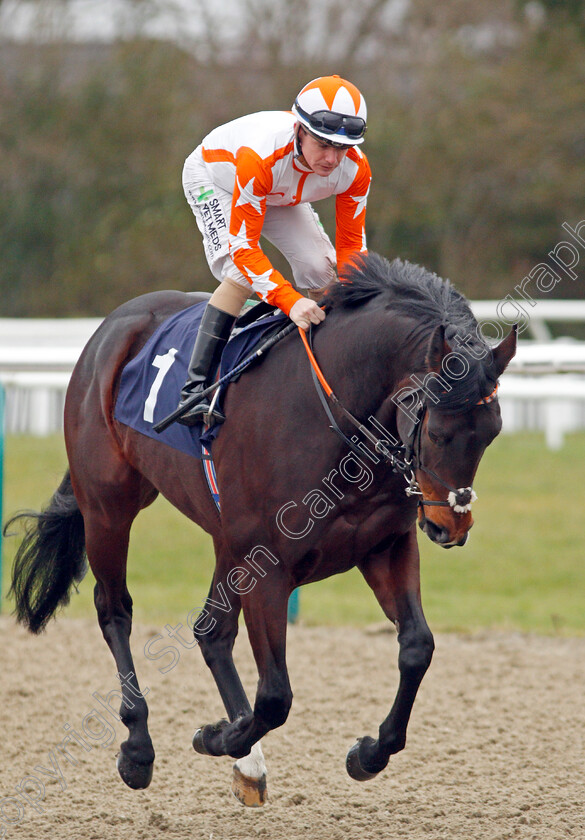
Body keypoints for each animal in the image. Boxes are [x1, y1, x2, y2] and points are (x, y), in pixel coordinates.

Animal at [5, 253, 516, 804]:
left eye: (492, 433)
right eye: (438, 431)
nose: (450, 526)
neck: (339, 419)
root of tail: (111, 328)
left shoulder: (384, 546)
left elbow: (417, 647)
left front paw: (369, 753)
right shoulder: (266, 565)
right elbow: (274, 697)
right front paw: (216, 736)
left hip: (221, 536)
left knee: (210, 631)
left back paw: (246, 764)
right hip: (108, 506)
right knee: (114, 609)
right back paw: (139, 748)